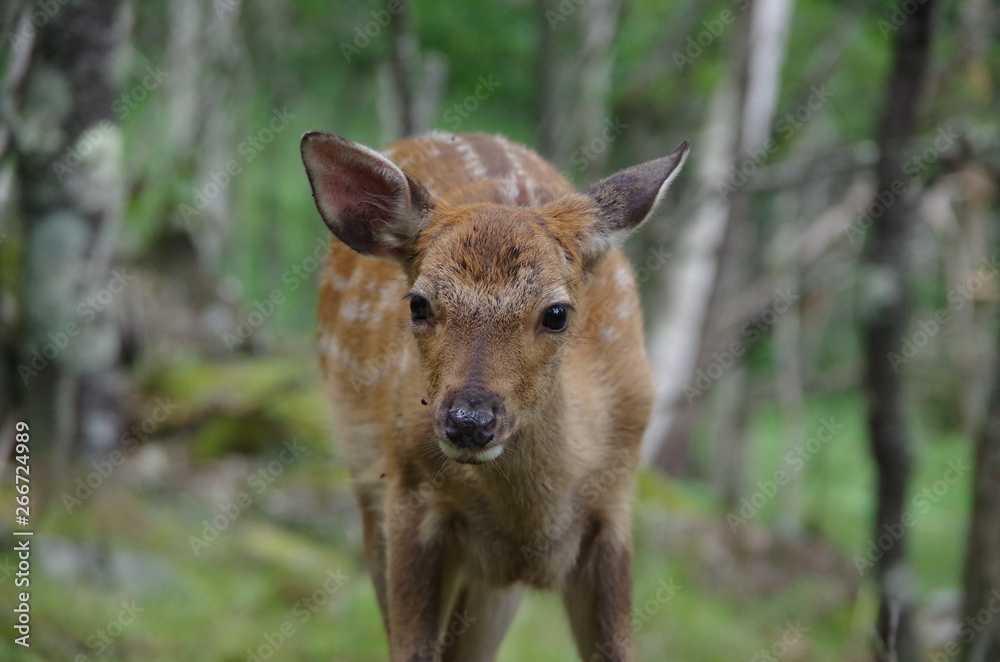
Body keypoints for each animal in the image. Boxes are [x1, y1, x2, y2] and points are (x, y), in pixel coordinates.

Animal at [301, 130, 688, 662]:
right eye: (418, 304)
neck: (531, 521)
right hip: (369, 482)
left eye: (557, 313)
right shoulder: (407, 494)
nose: (469, 421)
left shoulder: (615, 506)